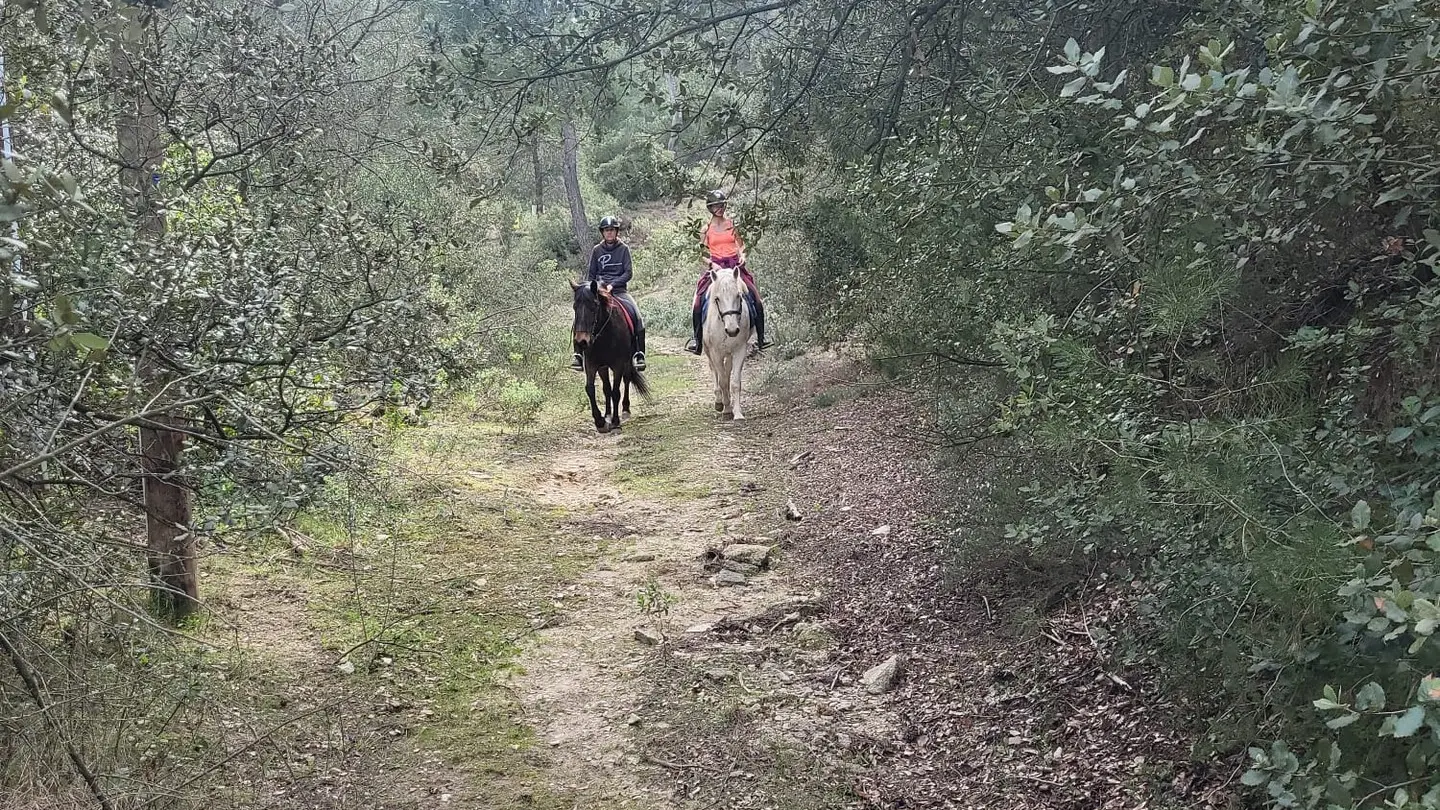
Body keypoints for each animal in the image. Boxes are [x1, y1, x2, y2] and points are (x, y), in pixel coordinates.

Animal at [571, 279, 649, 433]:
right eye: (575, 306)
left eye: (594, 306)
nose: (582, 342)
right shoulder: (592, 364)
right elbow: (591, 389)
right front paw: (600, 421)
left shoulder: (618, 364)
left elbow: (616, 392)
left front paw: (616, 422)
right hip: (603, 367)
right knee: (606, 388)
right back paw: (607, 414)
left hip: (626, 362)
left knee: (626, 380)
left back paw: (625, 410)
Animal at [701, 266, 754, 420]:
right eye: (717, 298)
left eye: (739, 296)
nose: (732, 330)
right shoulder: (715, 353)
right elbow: (723, 381)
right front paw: (727, 410)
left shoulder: (739, 350)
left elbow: (735, 382)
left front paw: (737, 413)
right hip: (708, 350)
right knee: (714, 371)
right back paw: (719, 402)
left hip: (729, 353)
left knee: (727, 370)